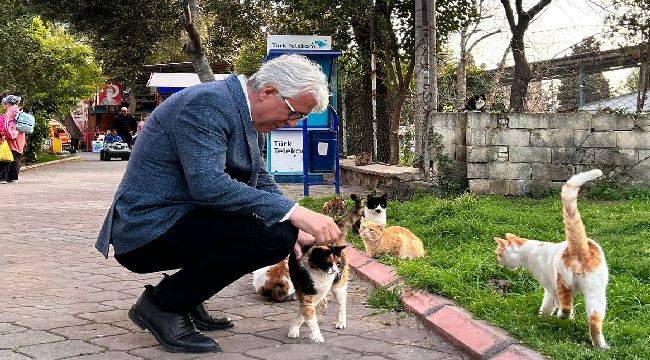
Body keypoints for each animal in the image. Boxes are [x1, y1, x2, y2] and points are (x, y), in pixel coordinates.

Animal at [496, 170, 608, 350]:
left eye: (499, 254)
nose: (498, 262)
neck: (532, 250)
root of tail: (580, 247)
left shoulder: (549, 287)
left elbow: (549, 304)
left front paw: (544, 317)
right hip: (596, 292)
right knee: (594, 319)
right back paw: (601, 346)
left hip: (563, 281)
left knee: (567, 307)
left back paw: (562, 316)